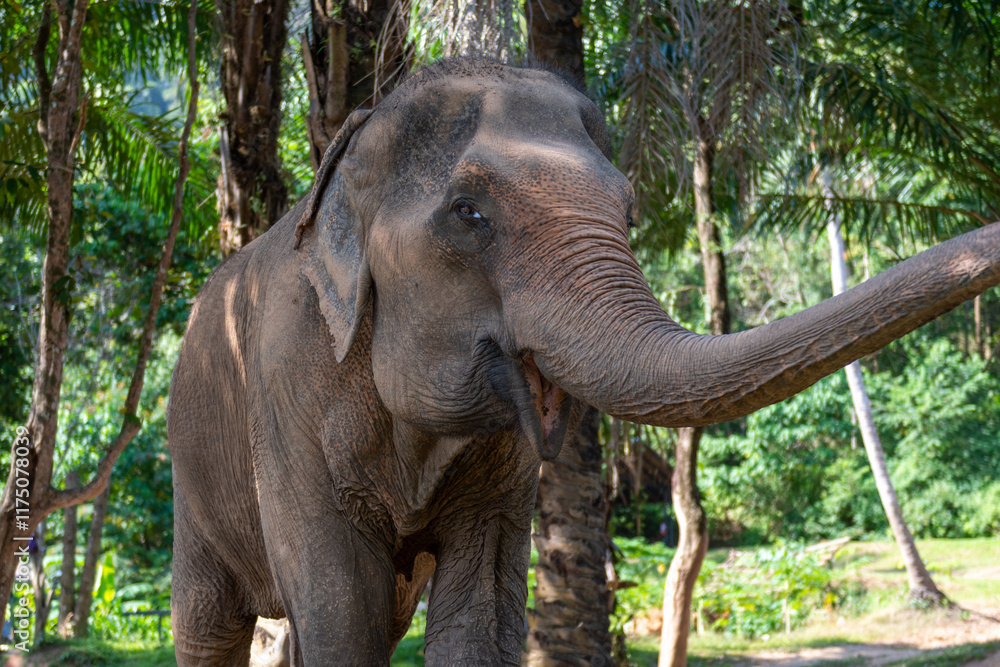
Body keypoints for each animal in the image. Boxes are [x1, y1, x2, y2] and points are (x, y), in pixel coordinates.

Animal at [167, 56, 1000, 666]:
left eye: (629, 210)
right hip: (194, 482)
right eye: (468, 214)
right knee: (209, 625)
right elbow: (342, 612)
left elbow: (478, 611)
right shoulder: (286, 392)